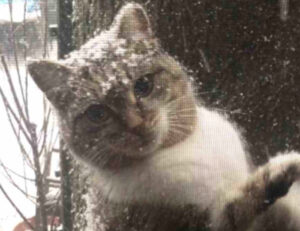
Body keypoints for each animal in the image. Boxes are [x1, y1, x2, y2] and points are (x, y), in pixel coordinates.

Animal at [27, 3, 300, 231]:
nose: (136, 124)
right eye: (97, 113)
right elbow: (236, 210)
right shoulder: (177, 221)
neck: (183, 148)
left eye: (143, 85)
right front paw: (280, 170)